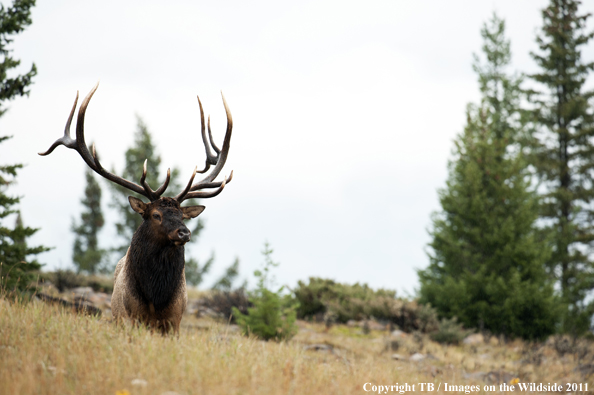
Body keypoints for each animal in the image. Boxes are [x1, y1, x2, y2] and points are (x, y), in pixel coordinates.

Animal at [38, 83, 234, 334]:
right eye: (156, 215)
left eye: (183, 216)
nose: (184, 233)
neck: (155, 299)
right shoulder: (129, 317)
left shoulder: (175, 321)